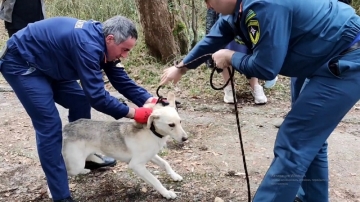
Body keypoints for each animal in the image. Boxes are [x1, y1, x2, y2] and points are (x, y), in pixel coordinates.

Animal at [49, 92, 190, 200]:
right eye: (171, 125)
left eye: (180, 122)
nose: (185, 138)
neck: (151, 132)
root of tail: (66, 127)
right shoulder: (136, 165)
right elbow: (155, 180)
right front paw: (166, 193)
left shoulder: (152, 156)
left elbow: (166, 163)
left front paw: (174, 176)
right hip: (75, 164)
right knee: (61, 172)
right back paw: (52, 192)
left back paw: (84, 170)